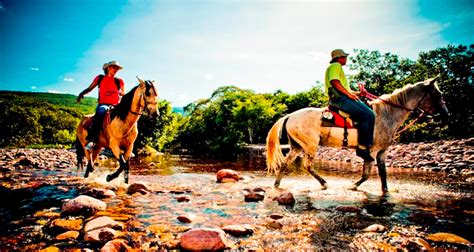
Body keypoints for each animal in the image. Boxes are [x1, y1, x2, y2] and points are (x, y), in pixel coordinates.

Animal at [266, 76, 448, 194]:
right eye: (438, 94)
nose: (446, 113)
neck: (386, 114)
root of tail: (290, 115)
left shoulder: (382, 152)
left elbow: (383, 173)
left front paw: (385, 191)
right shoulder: (371, 151)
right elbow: (367, 173)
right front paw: (353, 185)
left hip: (297, 146)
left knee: (284, 163)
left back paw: (276, 184)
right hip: (310, 145)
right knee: (307, 165)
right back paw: (323, 183)